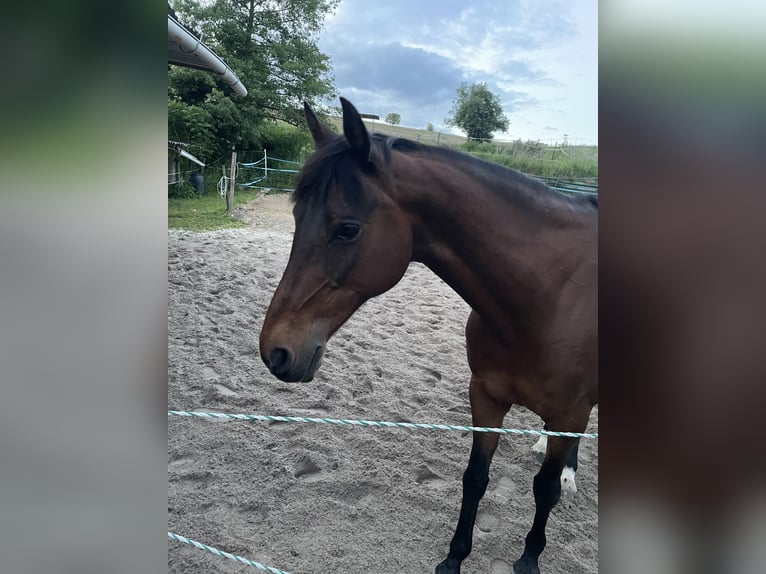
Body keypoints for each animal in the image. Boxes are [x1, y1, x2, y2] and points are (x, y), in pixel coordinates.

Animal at [259, 98, 598, 574]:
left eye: (347, 229)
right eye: (295, 217)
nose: (276, 351)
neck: (554, 293)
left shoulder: (570, 413)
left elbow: (543, 490)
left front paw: (529, 558)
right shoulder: (487, 397)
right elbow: (475, 478)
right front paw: (453, 559)